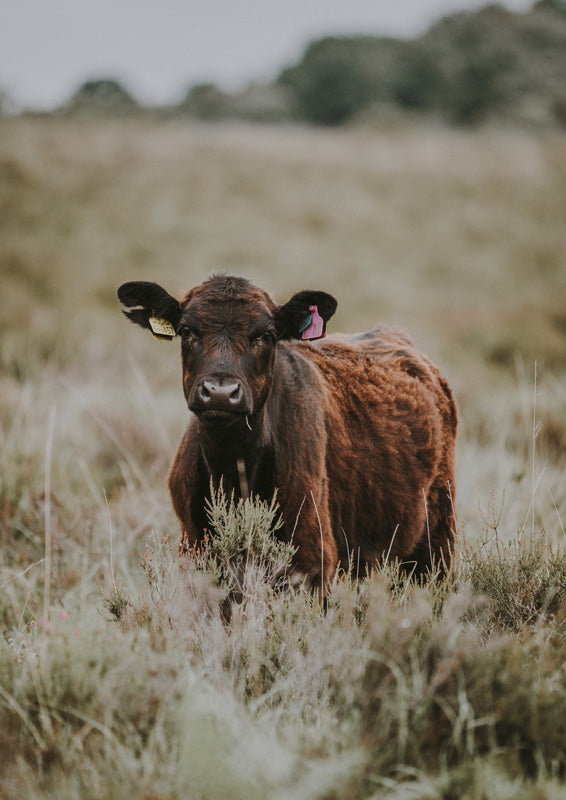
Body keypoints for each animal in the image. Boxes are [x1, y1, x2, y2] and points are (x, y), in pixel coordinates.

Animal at [117, 274, 457, 591]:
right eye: (187, 331)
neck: (233, 468)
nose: (220, 392)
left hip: (436, 543)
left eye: (266, 335)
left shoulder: (312, 558)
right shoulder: (194, 550)